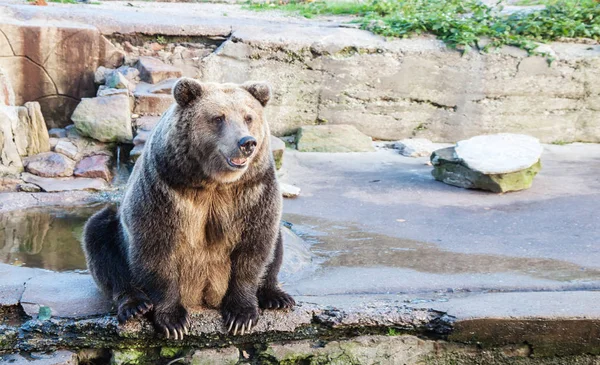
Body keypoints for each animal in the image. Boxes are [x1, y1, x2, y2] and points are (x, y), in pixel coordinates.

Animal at [81, 77, 292, 338]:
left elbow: (255, 247)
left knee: (276, 242)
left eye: (249, 117)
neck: (214, 183)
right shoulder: (164, 186)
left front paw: (241, 315)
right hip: (116, 231)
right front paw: (173, 321)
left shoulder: (253, 191)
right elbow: (155, 248)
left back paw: (276, 297)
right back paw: (135, 305)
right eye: (219, 117)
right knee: (100, 238)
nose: (247, 143)